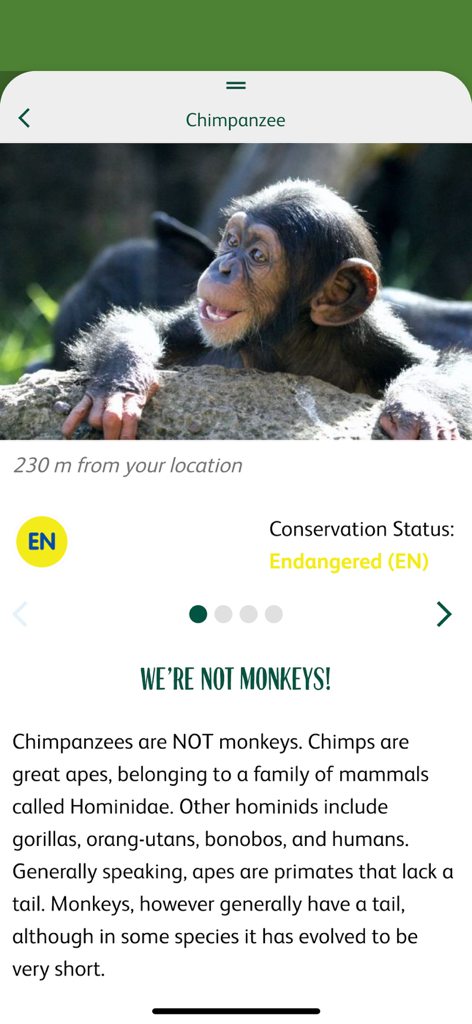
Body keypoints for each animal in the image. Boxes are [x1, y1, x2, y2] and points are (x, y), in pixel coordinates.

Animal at [60, 179, 472, 441]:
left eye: (257, 256)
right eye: (232, 240)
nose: (223, 266)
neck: (289, 343)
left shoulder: (372, 340)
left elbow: (439, 365)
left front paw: (418, 410)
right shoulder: (196, 328)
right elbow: (148, 326)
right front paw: (121, 387)